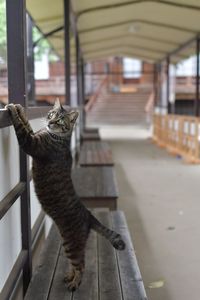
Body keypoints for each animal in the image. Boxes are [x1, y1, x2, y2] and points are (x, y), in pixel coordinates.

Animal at [6, 99, 125, 292]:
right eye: (51, 114)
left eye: (61, 120)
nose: (51, 122)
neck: (57, 137)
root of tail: (88, 215)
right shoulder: (35, 135)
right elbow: (26, 123)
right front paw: (19, 108)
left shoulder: (31, 143)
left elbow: (21, 128)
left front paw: (12, 109)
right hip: (68, 242)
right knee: (75, 264)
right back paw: (70, 276)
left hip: (72, 242)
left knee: (81, 265)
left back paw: (75, 283)